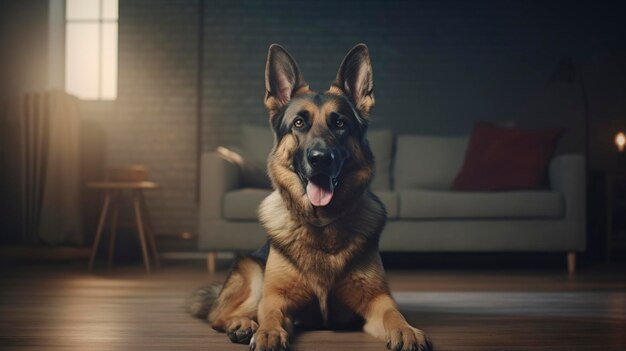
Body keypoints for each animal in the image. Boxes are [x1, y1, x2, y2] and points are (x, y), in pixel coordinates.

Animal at [190, 44, 432, 351]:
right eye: (299, 123)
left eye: (339, 123)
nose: (320, 159)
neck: (322, 225)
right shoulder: (277, 299)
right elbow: (270, 313)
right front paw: (268, 332)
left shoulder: (377, 300)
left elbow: (393, 313)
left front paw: (407, 330)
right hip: (252, 270)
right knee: (221, 315)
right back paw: (243, 325)